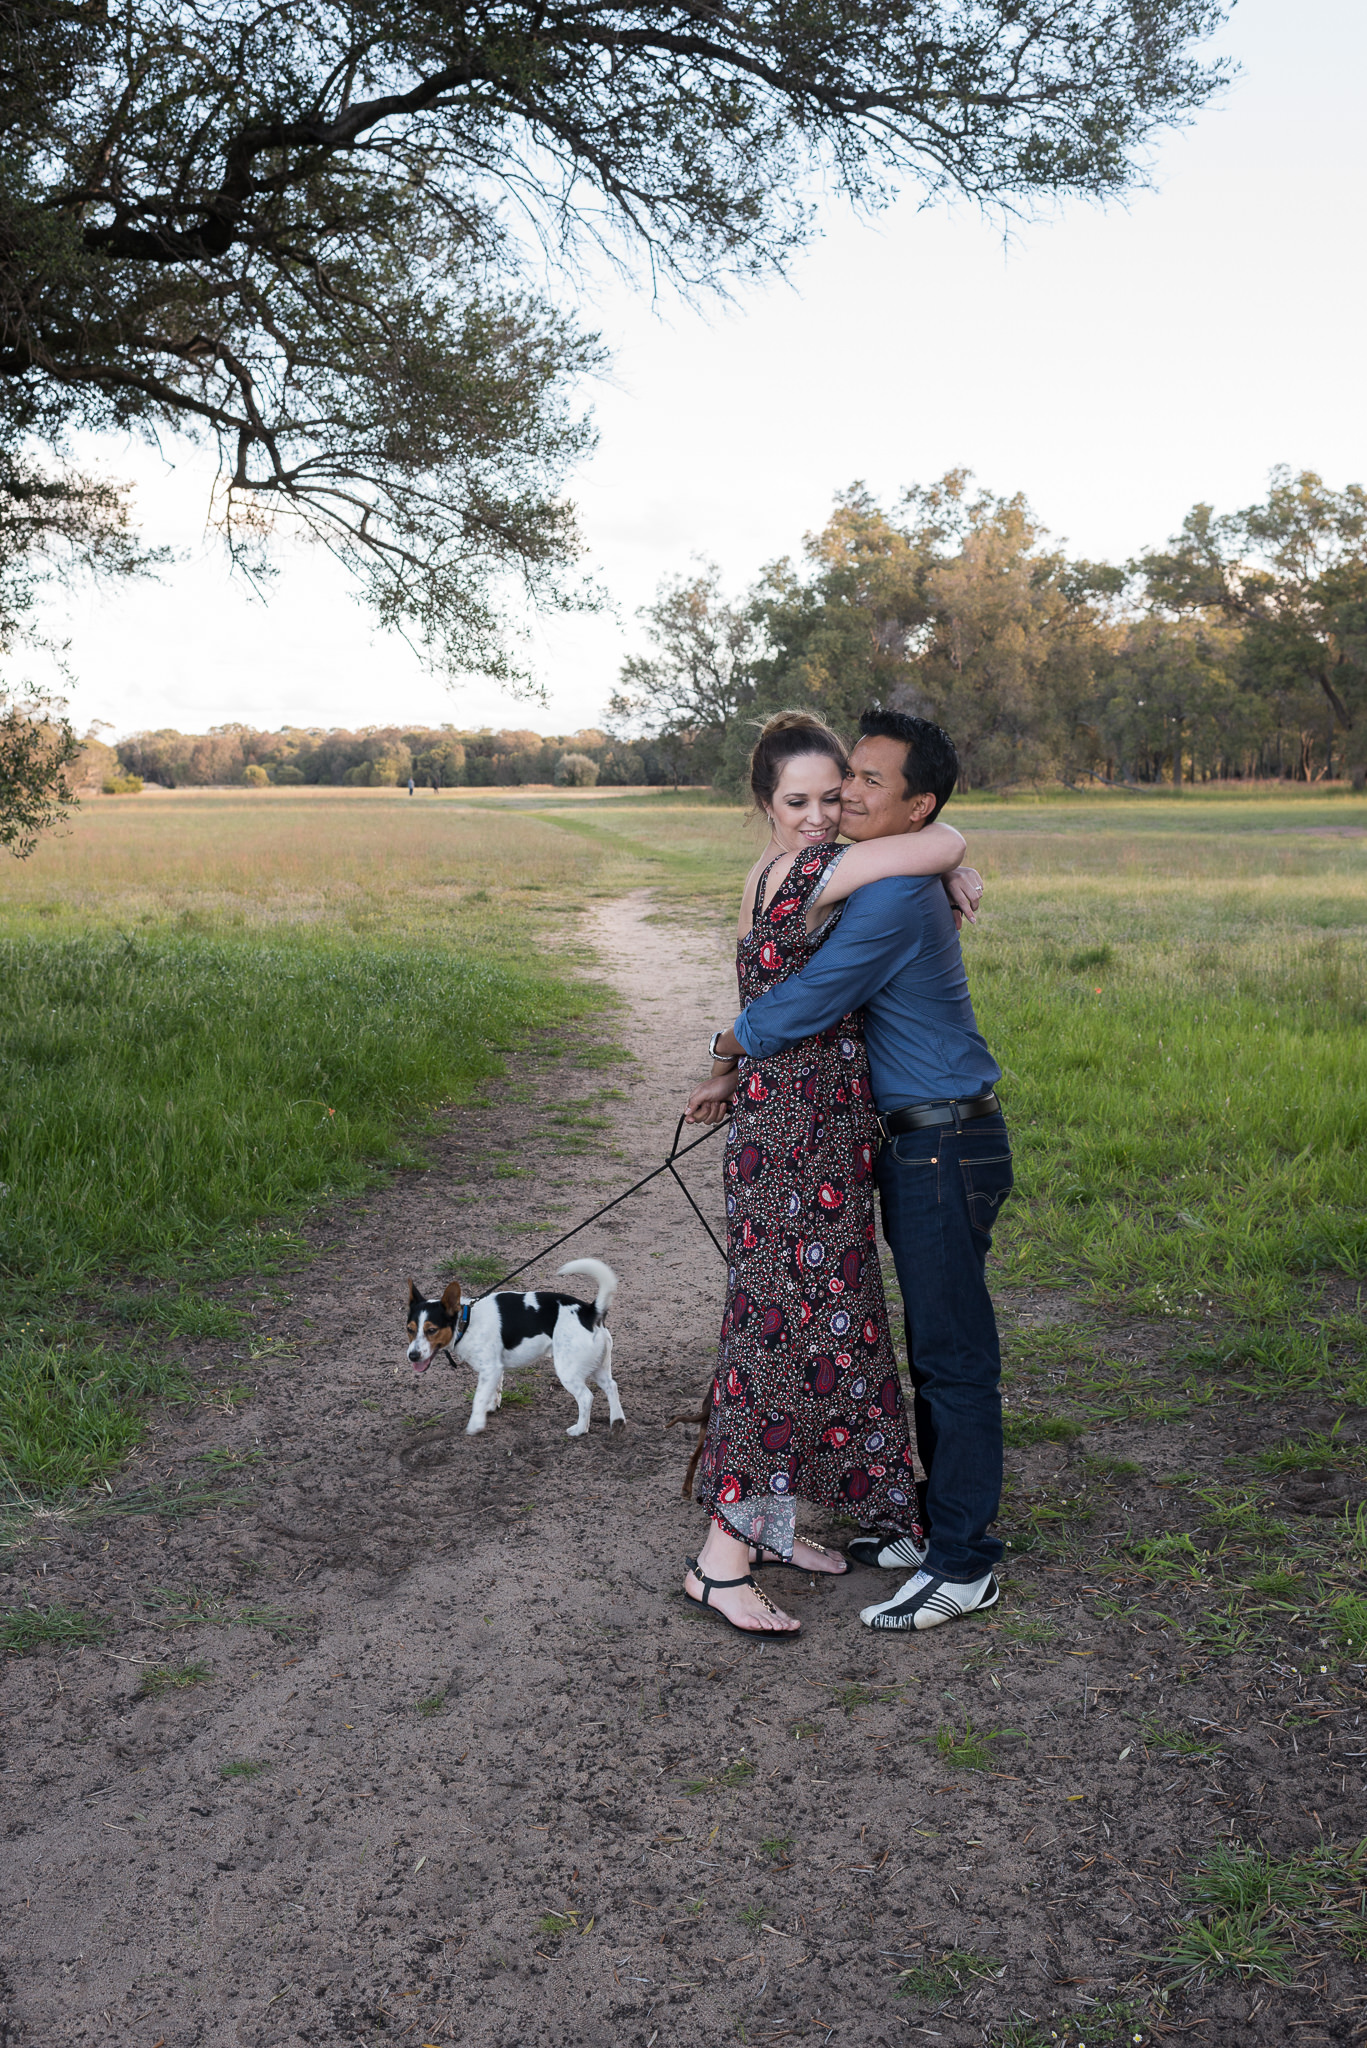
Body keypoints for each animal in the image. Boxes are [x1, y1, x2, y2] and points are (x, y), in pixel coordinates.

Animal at [403, 1253, 623, 1433]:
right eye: (410, 1329)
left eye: (431, 1330)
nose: (412, 1356)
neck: (466, 1322)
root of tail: (590, 1311)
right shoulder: (496, 1368)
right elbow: (494, 1390)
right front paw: (491, 1407)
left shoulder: (490, 1368)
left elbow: (478, 1397)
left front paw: (475, 1425)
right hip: (598, 1366)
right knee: (611, 1386)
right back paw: (617, 1421)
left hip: (568, 1370)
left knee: (586, 1397)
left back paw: (579, 1429)